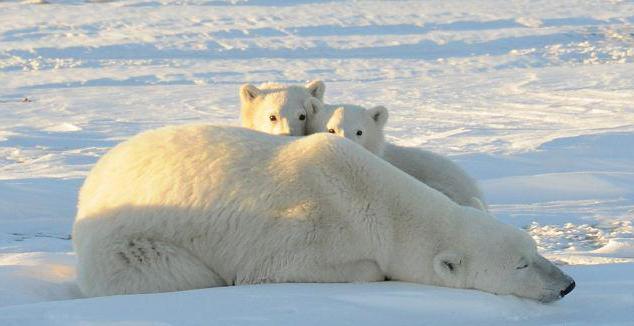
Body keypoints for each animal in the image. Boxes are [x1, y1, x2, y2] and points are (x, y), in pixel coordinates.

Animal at [71, 123, 572, 302]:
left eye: (535, 250)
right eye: (521, 265)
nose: (567, 284)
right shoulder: (307, 229)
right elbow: (284, 269)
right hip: (129, 244)